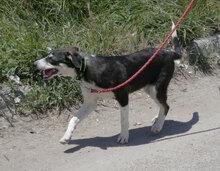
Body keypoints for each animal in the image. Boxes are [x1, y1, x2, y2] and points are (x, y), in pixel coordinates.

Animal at [34, 22, 181, 144]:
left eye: (51, 59)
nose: (34, 64)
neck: (87, 70)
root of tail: (169, 52)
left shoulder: (123, 97)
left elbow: (123, 120)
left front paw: (124, 136)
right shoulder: (90, 102)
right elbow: (73, 118)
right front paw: (66, 136)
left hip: (157, 89)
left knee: (166, 106)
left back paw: (158, 126)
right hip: (149, 89)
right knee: (163, 105)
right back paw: (157, 119)